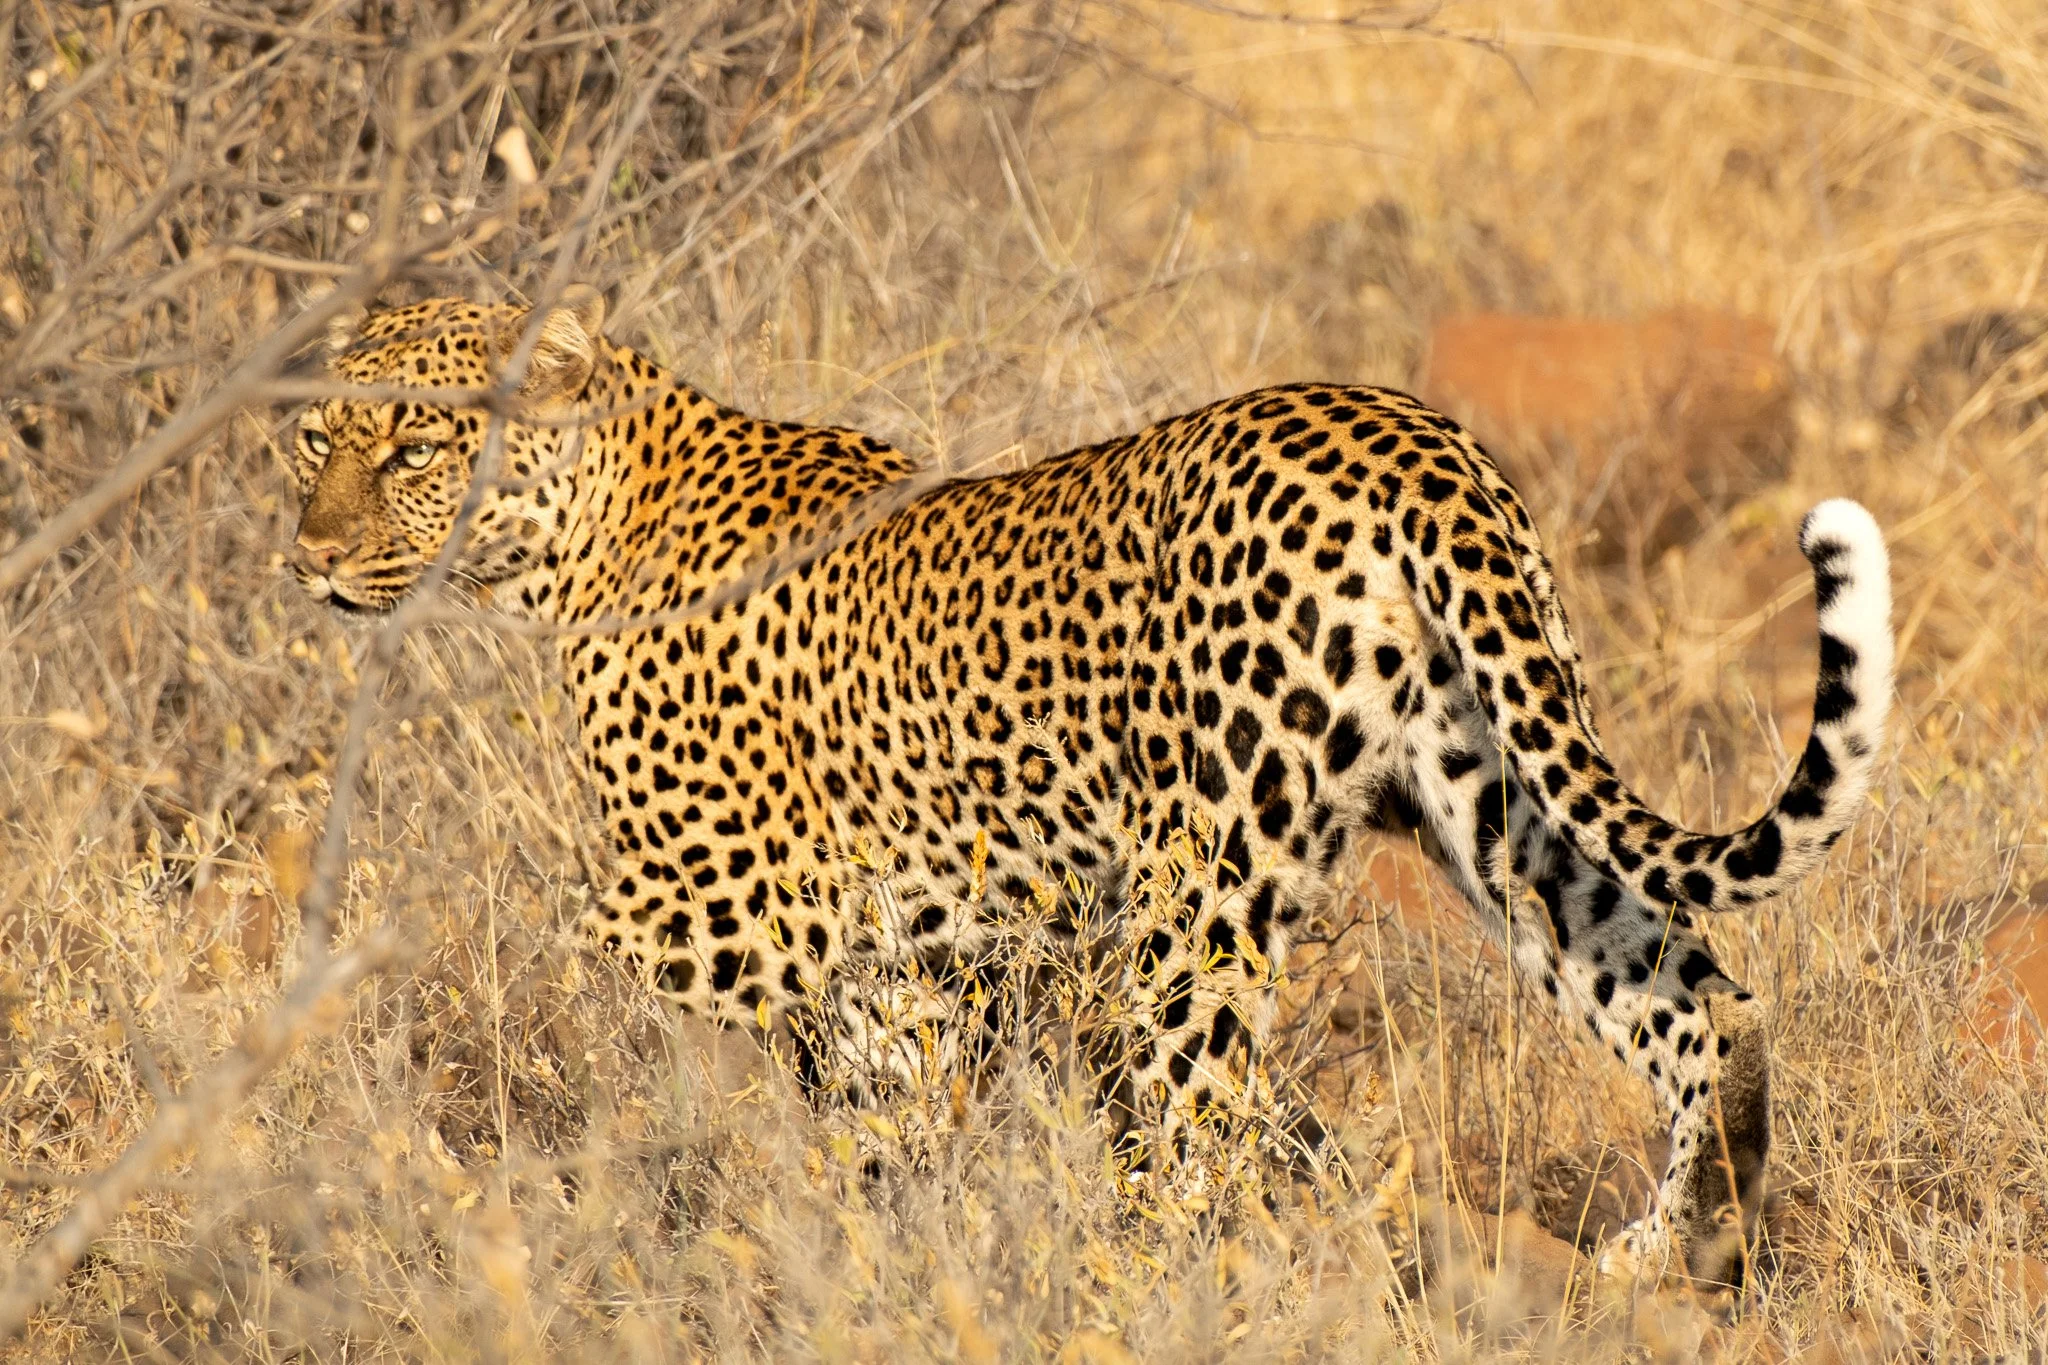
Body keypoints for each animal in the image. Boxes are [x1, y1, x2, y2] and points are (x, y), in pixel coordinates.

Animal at [287, 288, 1894, 1287]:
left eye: (414, 444)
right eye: (314, 437)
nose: (307, 554)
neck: (577, 537)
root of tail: (1407, 437)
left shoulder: (731, 919)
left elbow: (571, 978)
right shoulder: (903, 960)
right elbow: (889, 1125)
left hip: (1200, 886)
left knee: (1198, 1132)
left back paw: (1146, 1280)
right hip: (1500, 808)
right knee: (1700, 997)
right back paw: (1679, 1255)